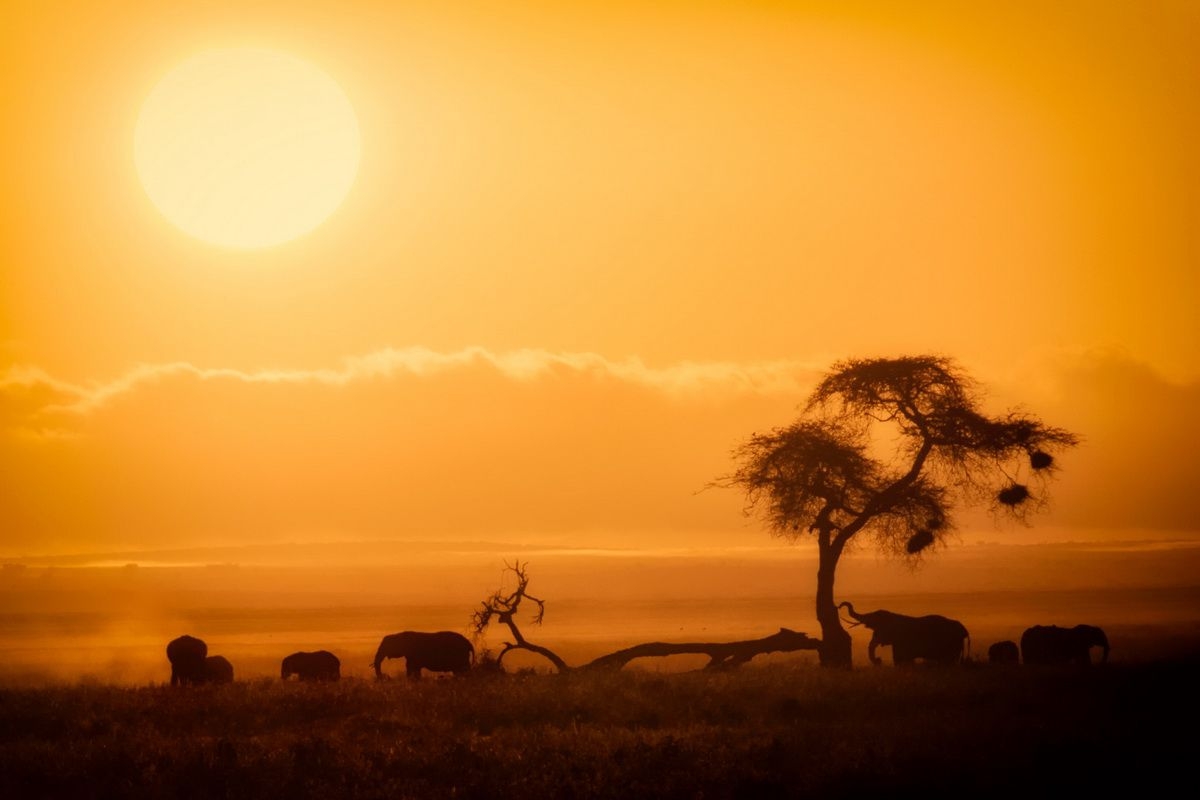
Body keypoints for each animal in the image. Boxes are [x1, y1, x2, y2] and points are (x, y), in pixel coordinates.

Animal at [840, 604, 969, 666]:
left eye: (875, 624)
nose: (879, 660)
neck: (893, 616)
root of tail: (964, 630)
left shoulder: (902, 642)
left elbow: (900, 659)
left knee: (949, 661)